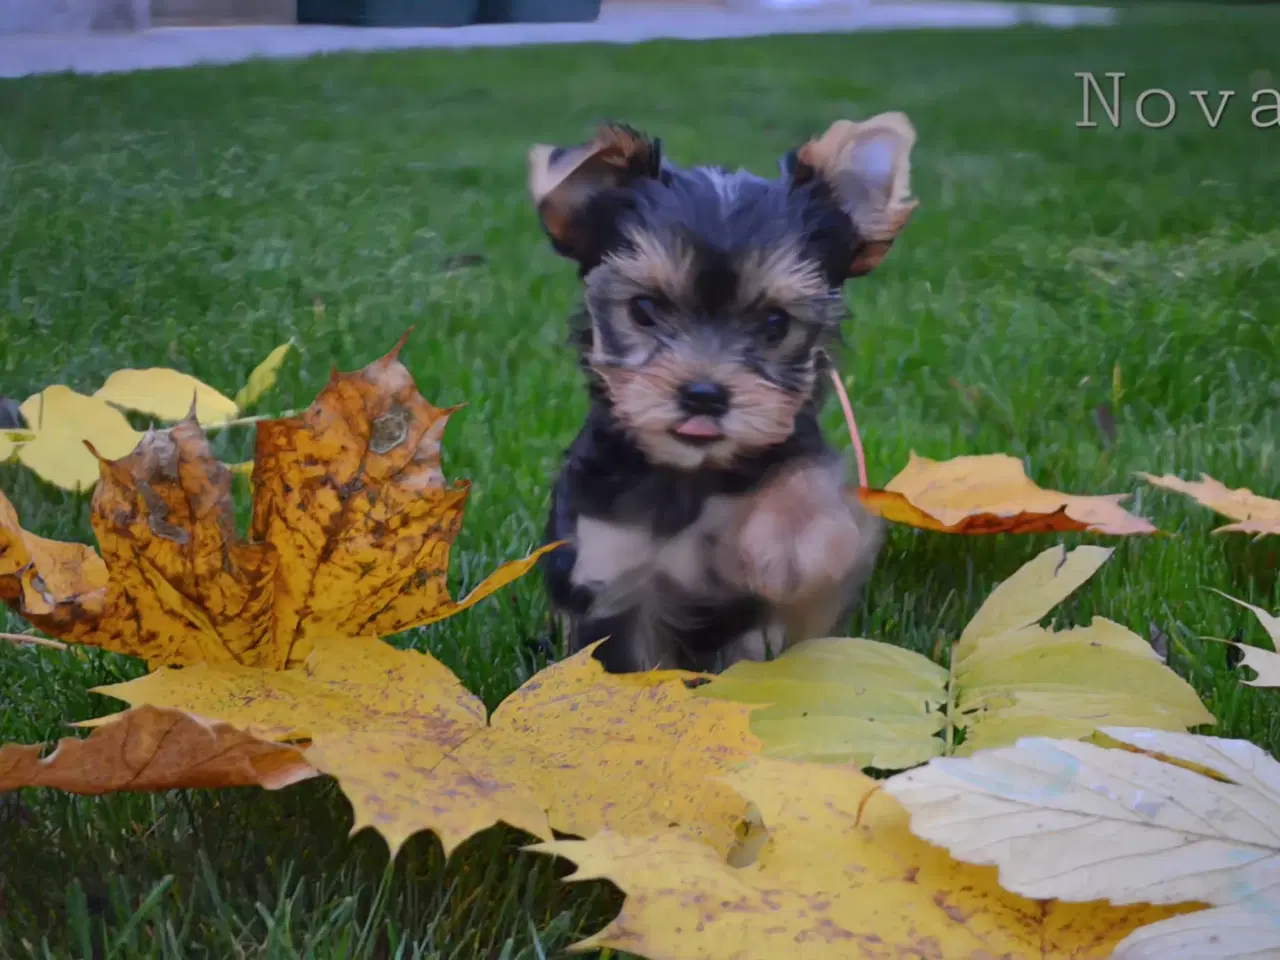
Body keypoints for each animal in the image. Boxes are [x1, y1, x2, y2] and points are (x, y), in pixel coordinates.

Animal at [529, 114, 921, 675]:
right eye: (643, 309)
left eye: (776, 323)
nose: (704, 395)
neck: (696, 475)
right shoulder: (613, 572)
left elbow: (809, 481)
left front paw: (791, 539)